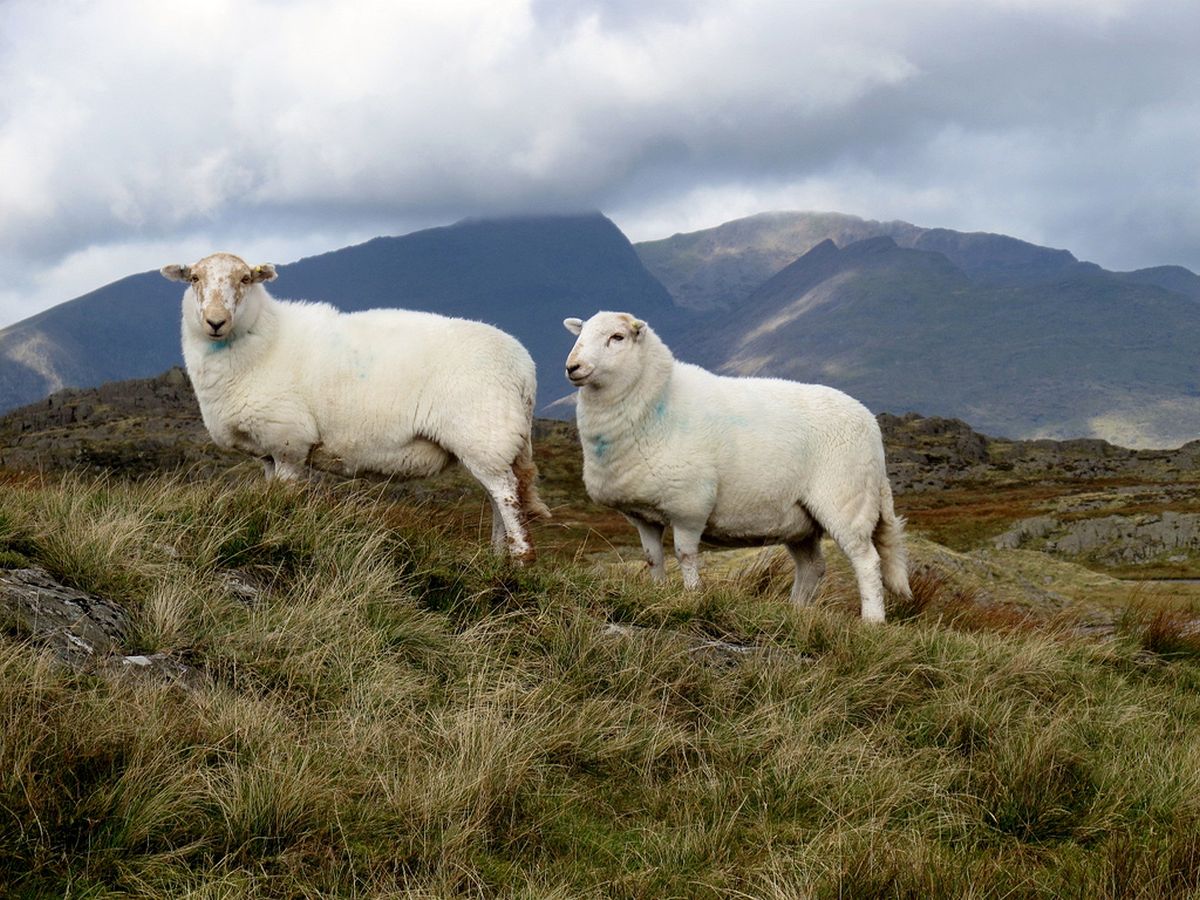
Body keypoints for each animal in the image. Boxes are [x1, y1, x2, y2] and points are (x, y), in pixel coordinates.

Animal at [163, 254, 549, 561]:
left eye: (244, 278)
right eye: (194, 278)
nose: (215, 321)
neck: (264, 339)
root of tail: (524, 365)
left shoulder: (289, 440)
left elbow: (285, 497)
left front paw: (280, 532)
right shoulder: (268, 450)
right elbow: (269, 493)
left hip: (483, 434)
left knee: (506, 496)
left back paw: (520, 560)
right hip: (492, 443)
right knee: (499, 496)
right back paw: (496, 558)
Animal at [561, 314, 907, 624]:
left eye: (617, 337)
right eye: (581, 334)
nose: (572, 367)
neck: (658, 401)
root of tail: (870, 422)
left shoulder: (689, 505)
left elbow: (685, 555)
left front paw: (692, 597)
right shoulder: (643, 514)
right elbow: (652, 558)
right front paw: (656, 592)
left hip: (846, 500)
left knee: (867, 561)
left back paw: (872, 621)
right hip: (800, 519)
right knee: (813, 566)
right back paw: (795, 611)